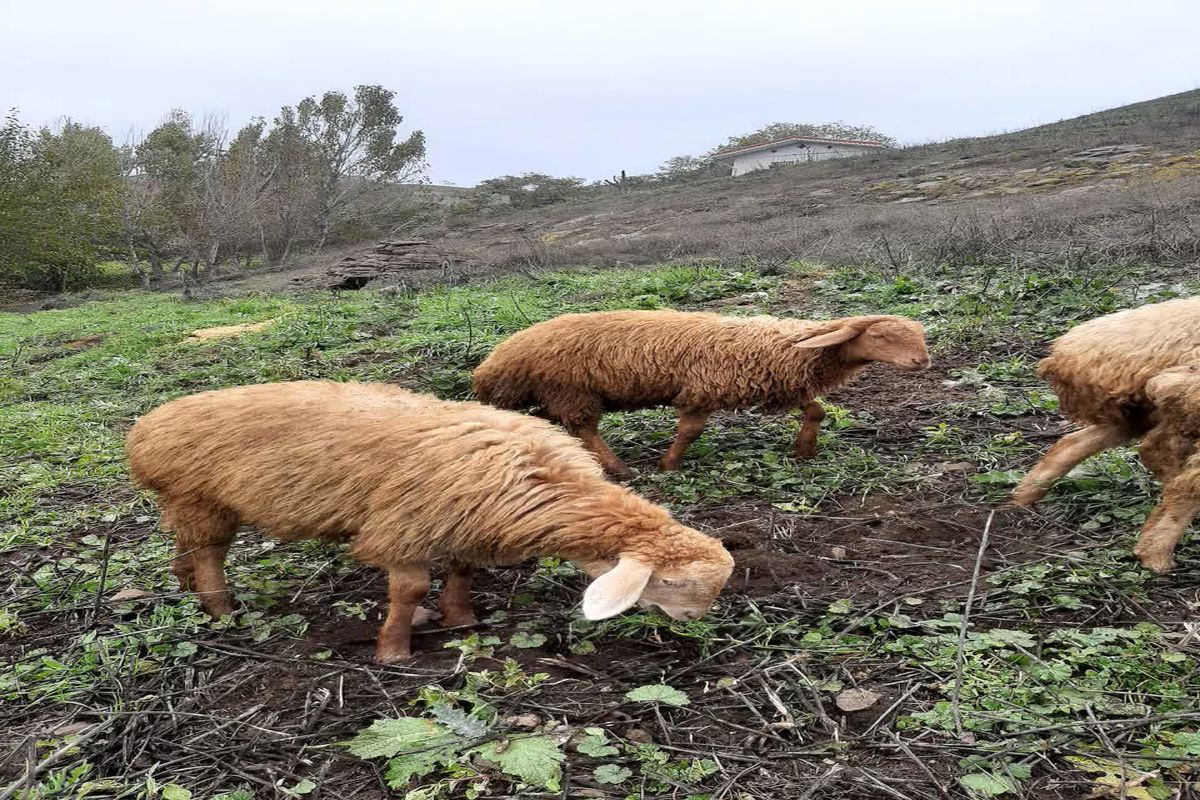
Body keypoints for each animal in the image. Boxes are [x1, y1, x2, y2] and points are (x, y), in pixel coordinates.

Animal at [126, 381, 734, 662]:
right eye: (671, 581)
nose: (692, 623)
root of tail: (145, 429)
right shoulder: (406, 528)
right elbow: (410, 588)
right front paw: (394, 648)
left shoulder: (465, 523)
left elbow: (463, 572)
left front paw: (460, 619)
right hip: (200, 496)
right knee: (210, 553)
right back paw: (220, 608)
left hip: (188, 501)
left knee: (185, 547)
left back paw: (186, 588)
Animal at [468, 311, 926, 474]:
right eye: (880, 336)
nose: (923, 362)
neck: (784, 345)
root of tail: (496, 361)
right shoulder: (704, 390)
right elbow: (690, 431)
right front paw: (669, 464)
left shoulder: (776, 381)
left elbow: (815, 411)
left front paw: (804, 451)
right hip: (570, 389)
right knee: (584, 428)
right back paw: (618, 468)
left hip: (553, 394)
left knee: (548, 422)